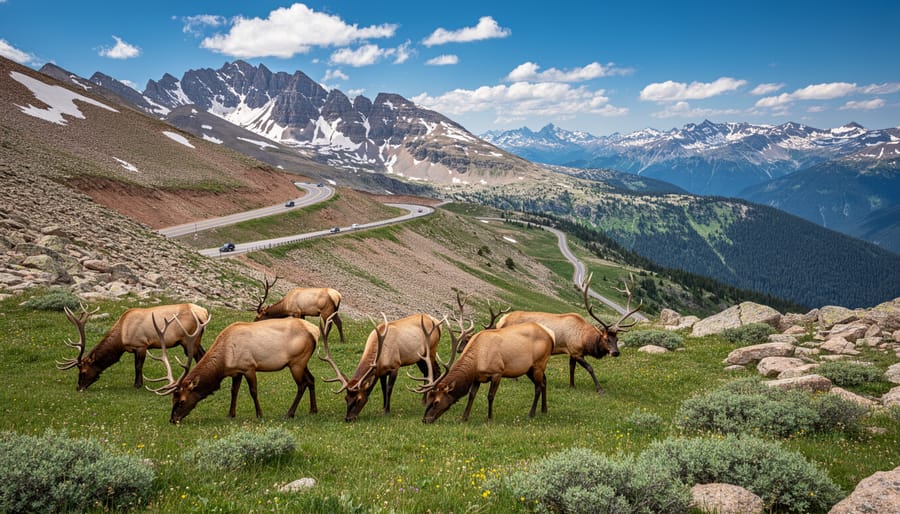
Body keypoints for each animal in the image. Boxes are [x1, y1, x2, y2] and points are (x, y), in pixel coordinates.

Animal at [56, 303, 209, 391]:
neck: (121, 338)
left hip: (188, 339)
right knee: (203, 354)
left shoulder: (141, 344)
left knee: (198, 356)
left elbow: (138, 366)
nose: (78, 387)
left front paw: (137, 385)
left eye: (83, 372)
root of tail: (204, 313)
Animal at [148, 316, 319, 424]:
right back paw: (313, 410)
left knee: (302, 384)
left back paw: (289, 413)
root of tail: (315, 331)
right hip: (301, 362)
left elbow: (253, 391)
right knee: (311, 379)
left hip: (296, 362)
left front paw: (259, 414)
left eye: (182, 401)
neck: (224, 361)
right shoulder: (236, 372)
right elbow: (234, 391)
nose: (173, 419)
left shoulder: (249, 366)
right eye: (172, 399)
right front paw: (230, 414)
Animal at [418, 312, 555, 423]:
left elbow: (490, 396)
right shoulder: (477, 378)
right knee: (544, 381)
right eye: (428, 400)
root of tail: (550, 334)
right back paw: (544, 409)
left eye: (436, 402)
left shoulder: (497, 372)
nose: (425, 419)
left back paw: (531, 413)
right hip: (530, 368)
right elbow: (471, 395)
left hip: (539, 363)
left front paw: (489, 418)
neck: (477, 363)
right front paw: (464, 418)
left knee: (538, 387)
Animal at [495, 273, 643, 394]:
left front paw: (572, 385)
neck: (584, 339)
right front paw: (599, 389)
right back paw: (514, 380)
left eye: (617, 339)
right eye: (606, 338)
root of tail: (501, 321)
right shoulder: (576, 351)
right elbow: (590, 368)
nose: (615, 352)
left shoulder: (572, 352)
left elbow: (572, 368)